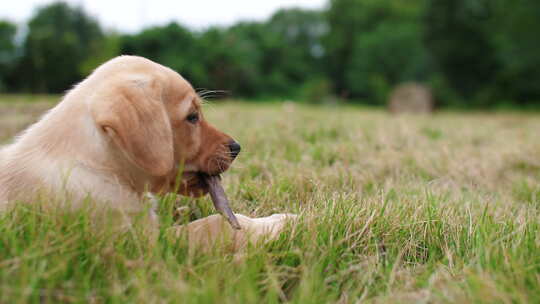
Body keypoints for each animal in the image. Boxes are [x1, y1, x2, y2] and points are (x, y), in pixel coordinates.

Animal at [0, 55, 296, 248]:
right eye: (192, 117)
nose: (236, 147)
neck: (96, 164)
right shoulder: (150, 246)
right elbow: (214, 225)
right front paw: (285, 222)